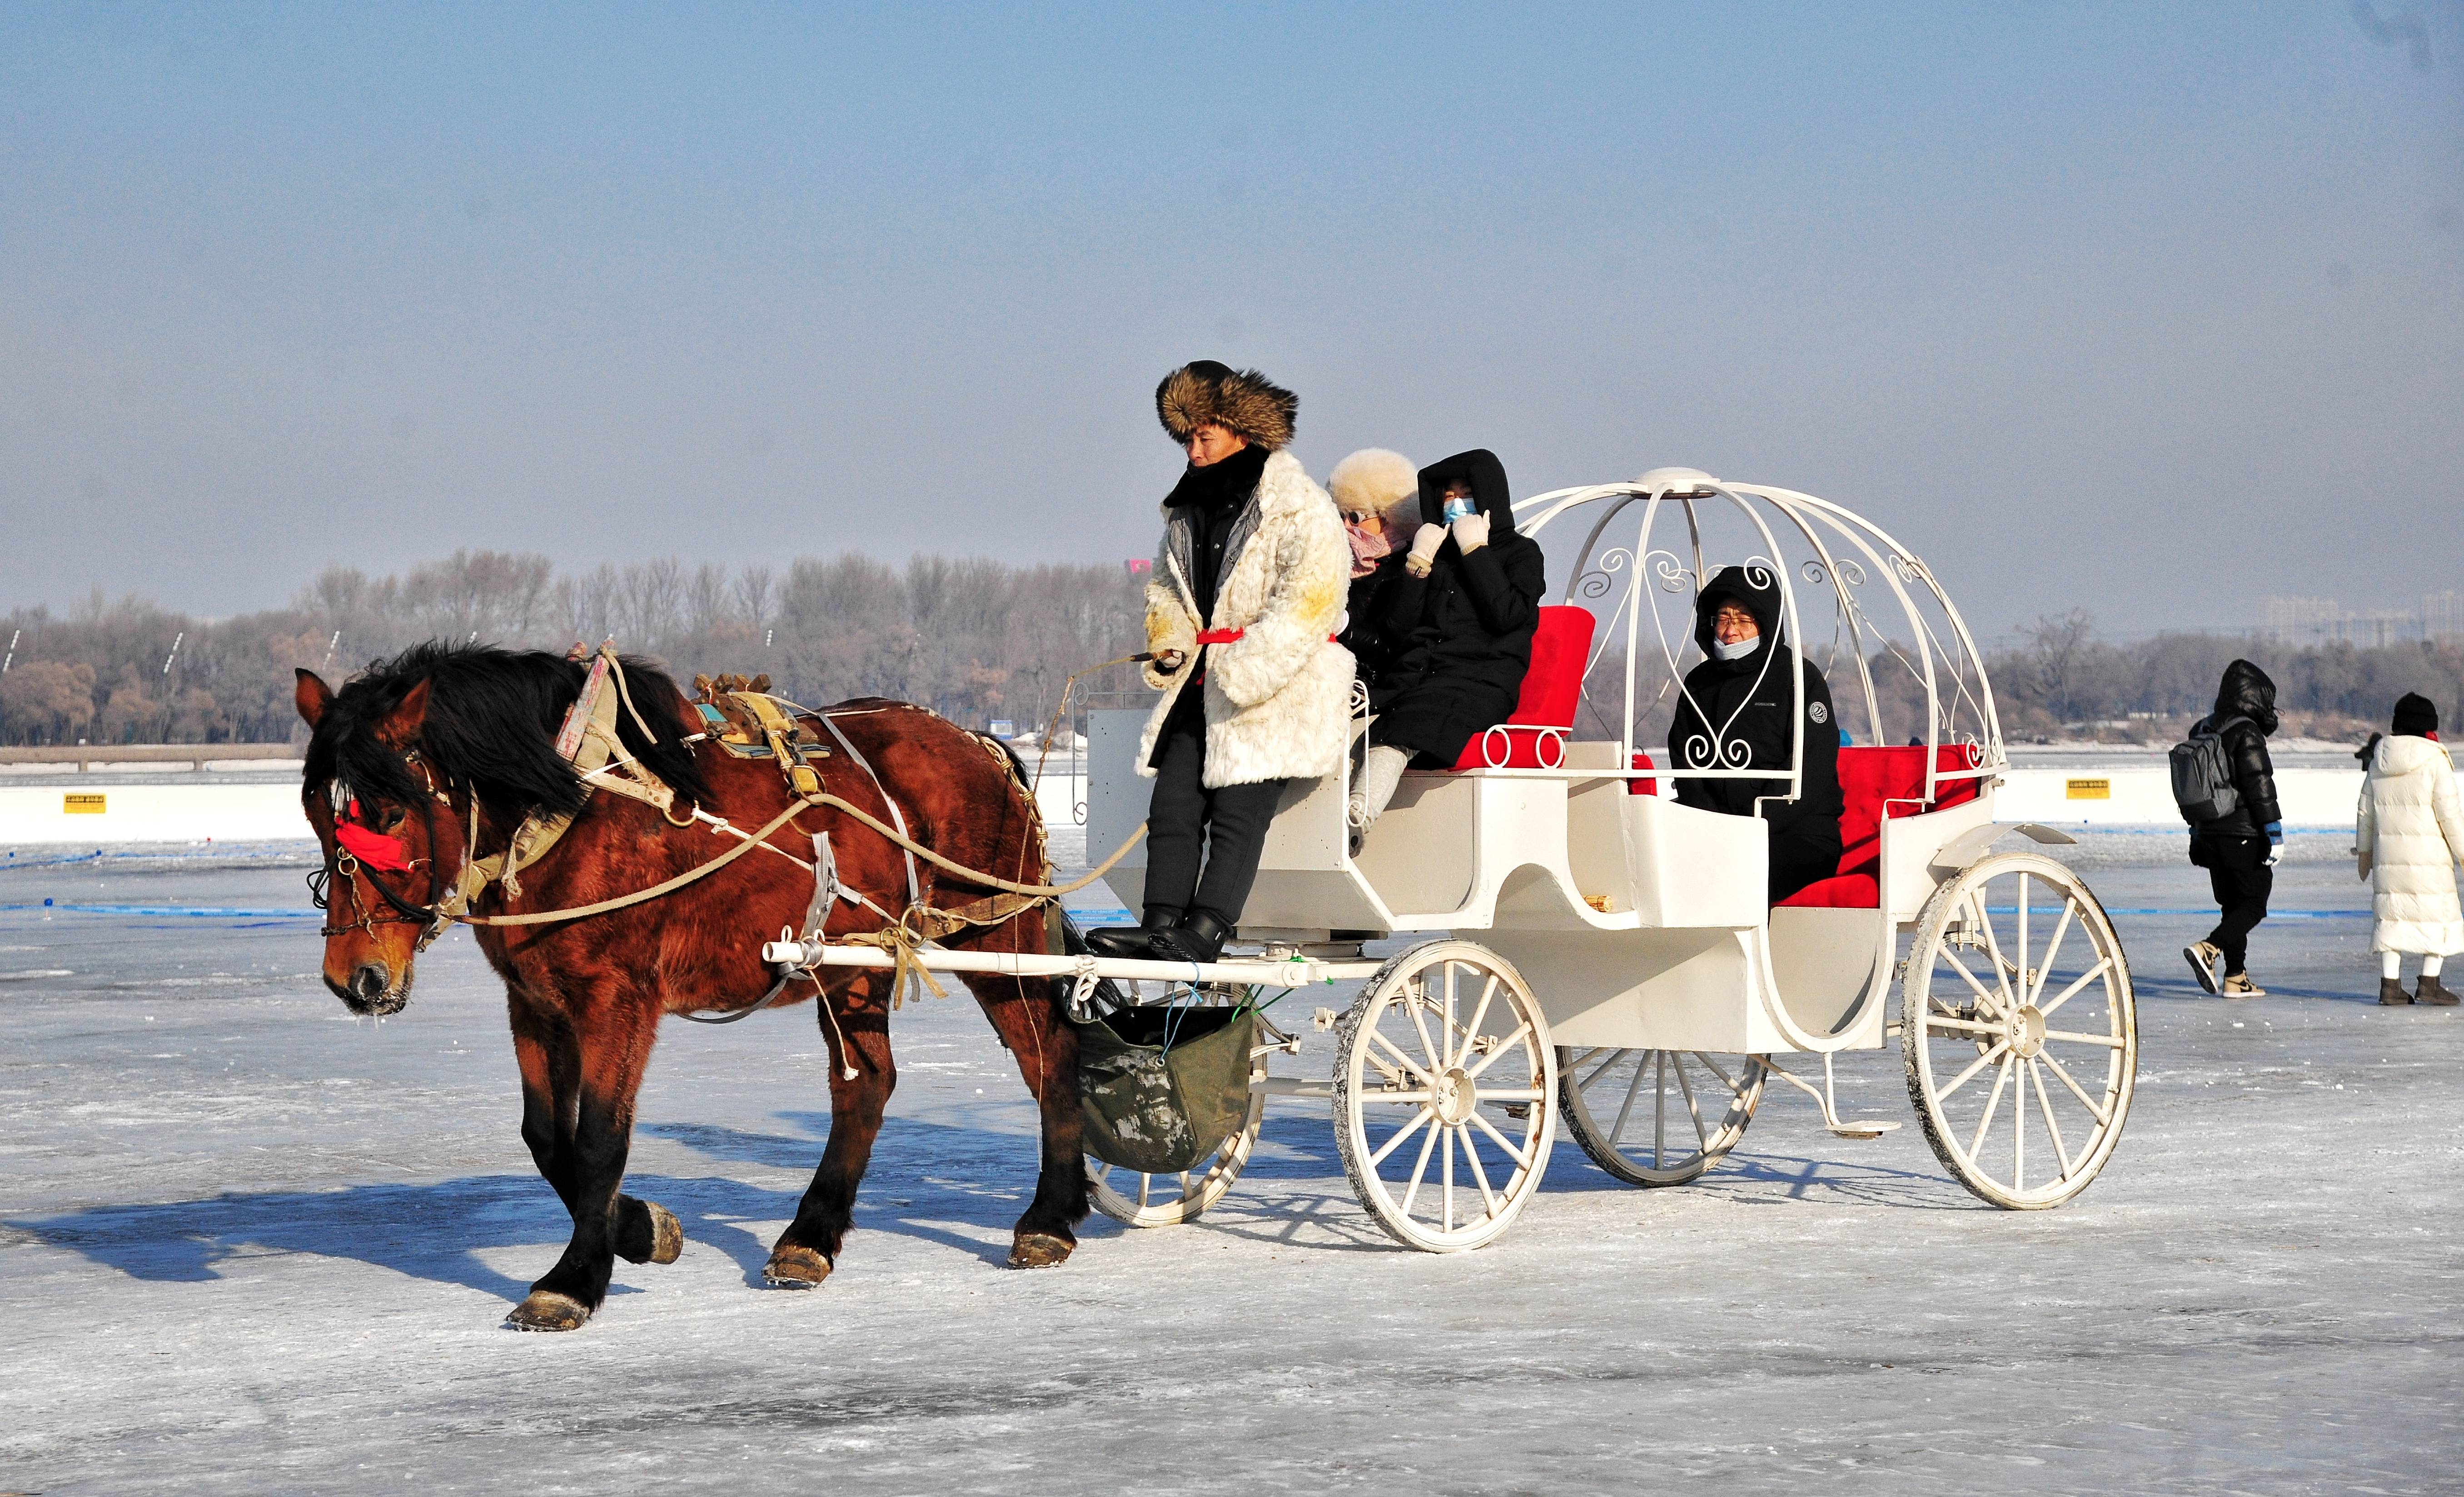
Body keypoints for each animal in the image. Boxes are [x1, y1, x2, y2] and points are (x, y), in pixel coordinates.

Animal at [293, 646, 1084, 1332]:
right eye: (316, 812)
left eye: (390, 812)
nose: (354, 977)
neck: (574, 809)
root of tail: (973, 742)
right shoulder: (535, 999)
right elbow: (546, 1137)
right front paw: (642, 1228)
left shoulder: (617, 999)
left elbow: (598, 1140)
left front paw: (573, 1279)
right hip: (851, 959)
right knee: (865, 1086)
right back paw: (810, 1235)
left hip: (995, 933)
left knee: (1048, 1053)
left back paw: (1049, 1217)